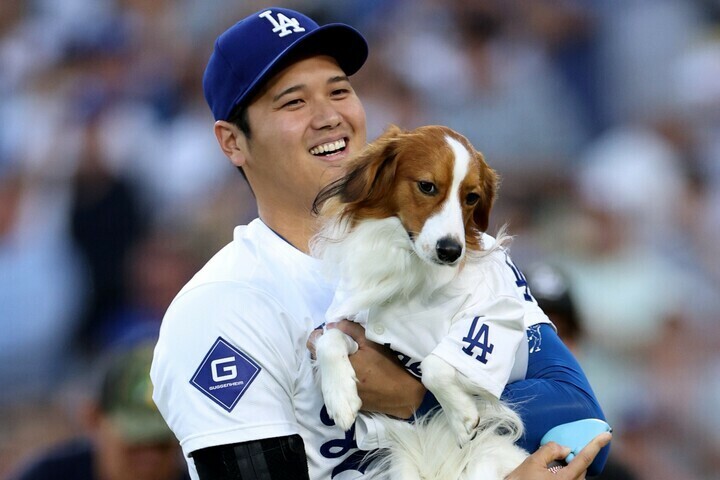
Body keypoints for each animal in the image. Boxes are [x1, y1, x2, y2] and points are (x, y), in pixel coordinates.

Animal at [310, 125, 552, 478]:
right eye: (427, 186)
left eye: (471, 197)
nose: (450, 251)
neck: (409, 269)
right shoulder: (352, 321)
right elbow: (328, 339)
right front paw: (340, 397)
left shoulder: (490, 325)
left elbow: (433, 365)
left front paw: (462, 416)